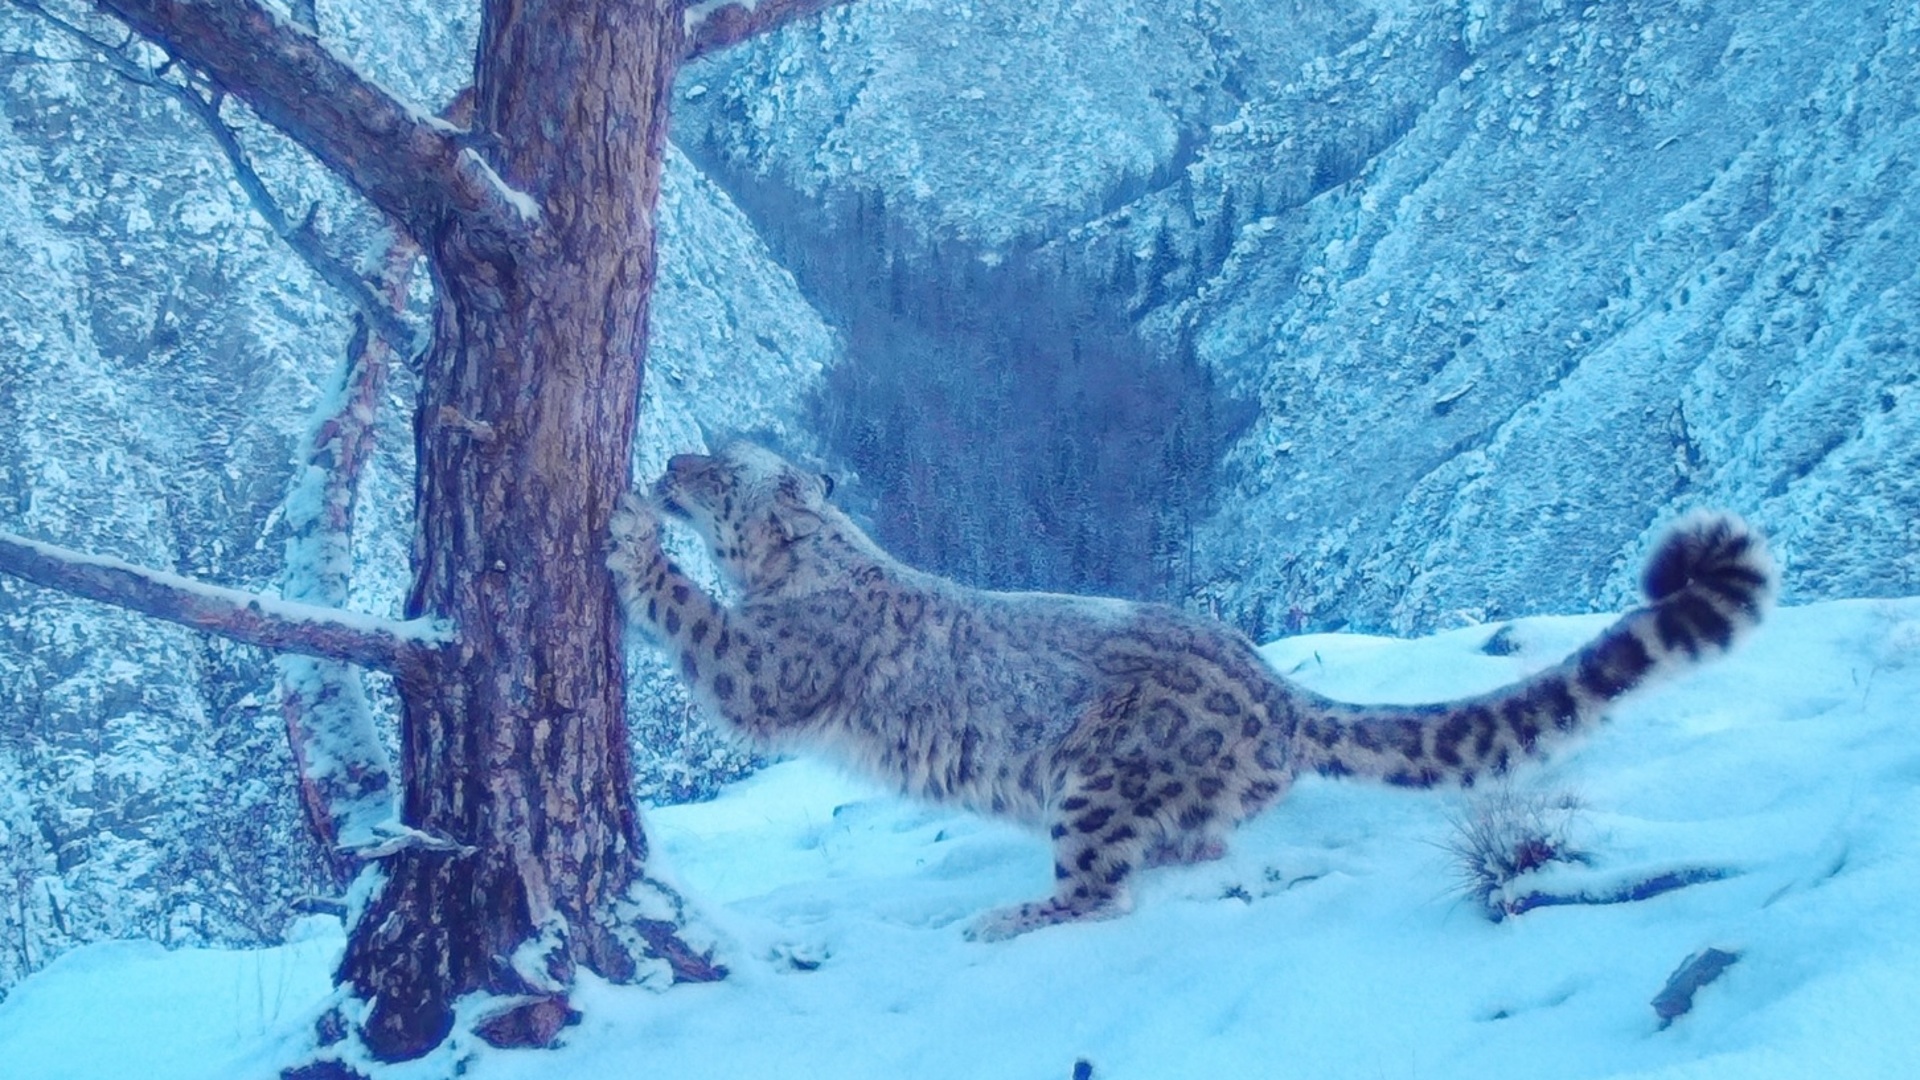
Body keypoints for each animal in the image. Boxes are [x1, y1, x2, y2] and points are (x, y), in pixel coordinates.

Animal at [606, 441, 1774, 937]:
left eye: (721, 470)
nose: (668, 463)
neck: (798, 564)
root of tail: (1272, 687)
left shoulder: (767, 667)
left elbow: (694, 621)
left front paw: (626, 534)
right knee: (1190, 847)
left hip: (1094, 783)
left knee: (1103, 888)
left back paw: (1010, 915)